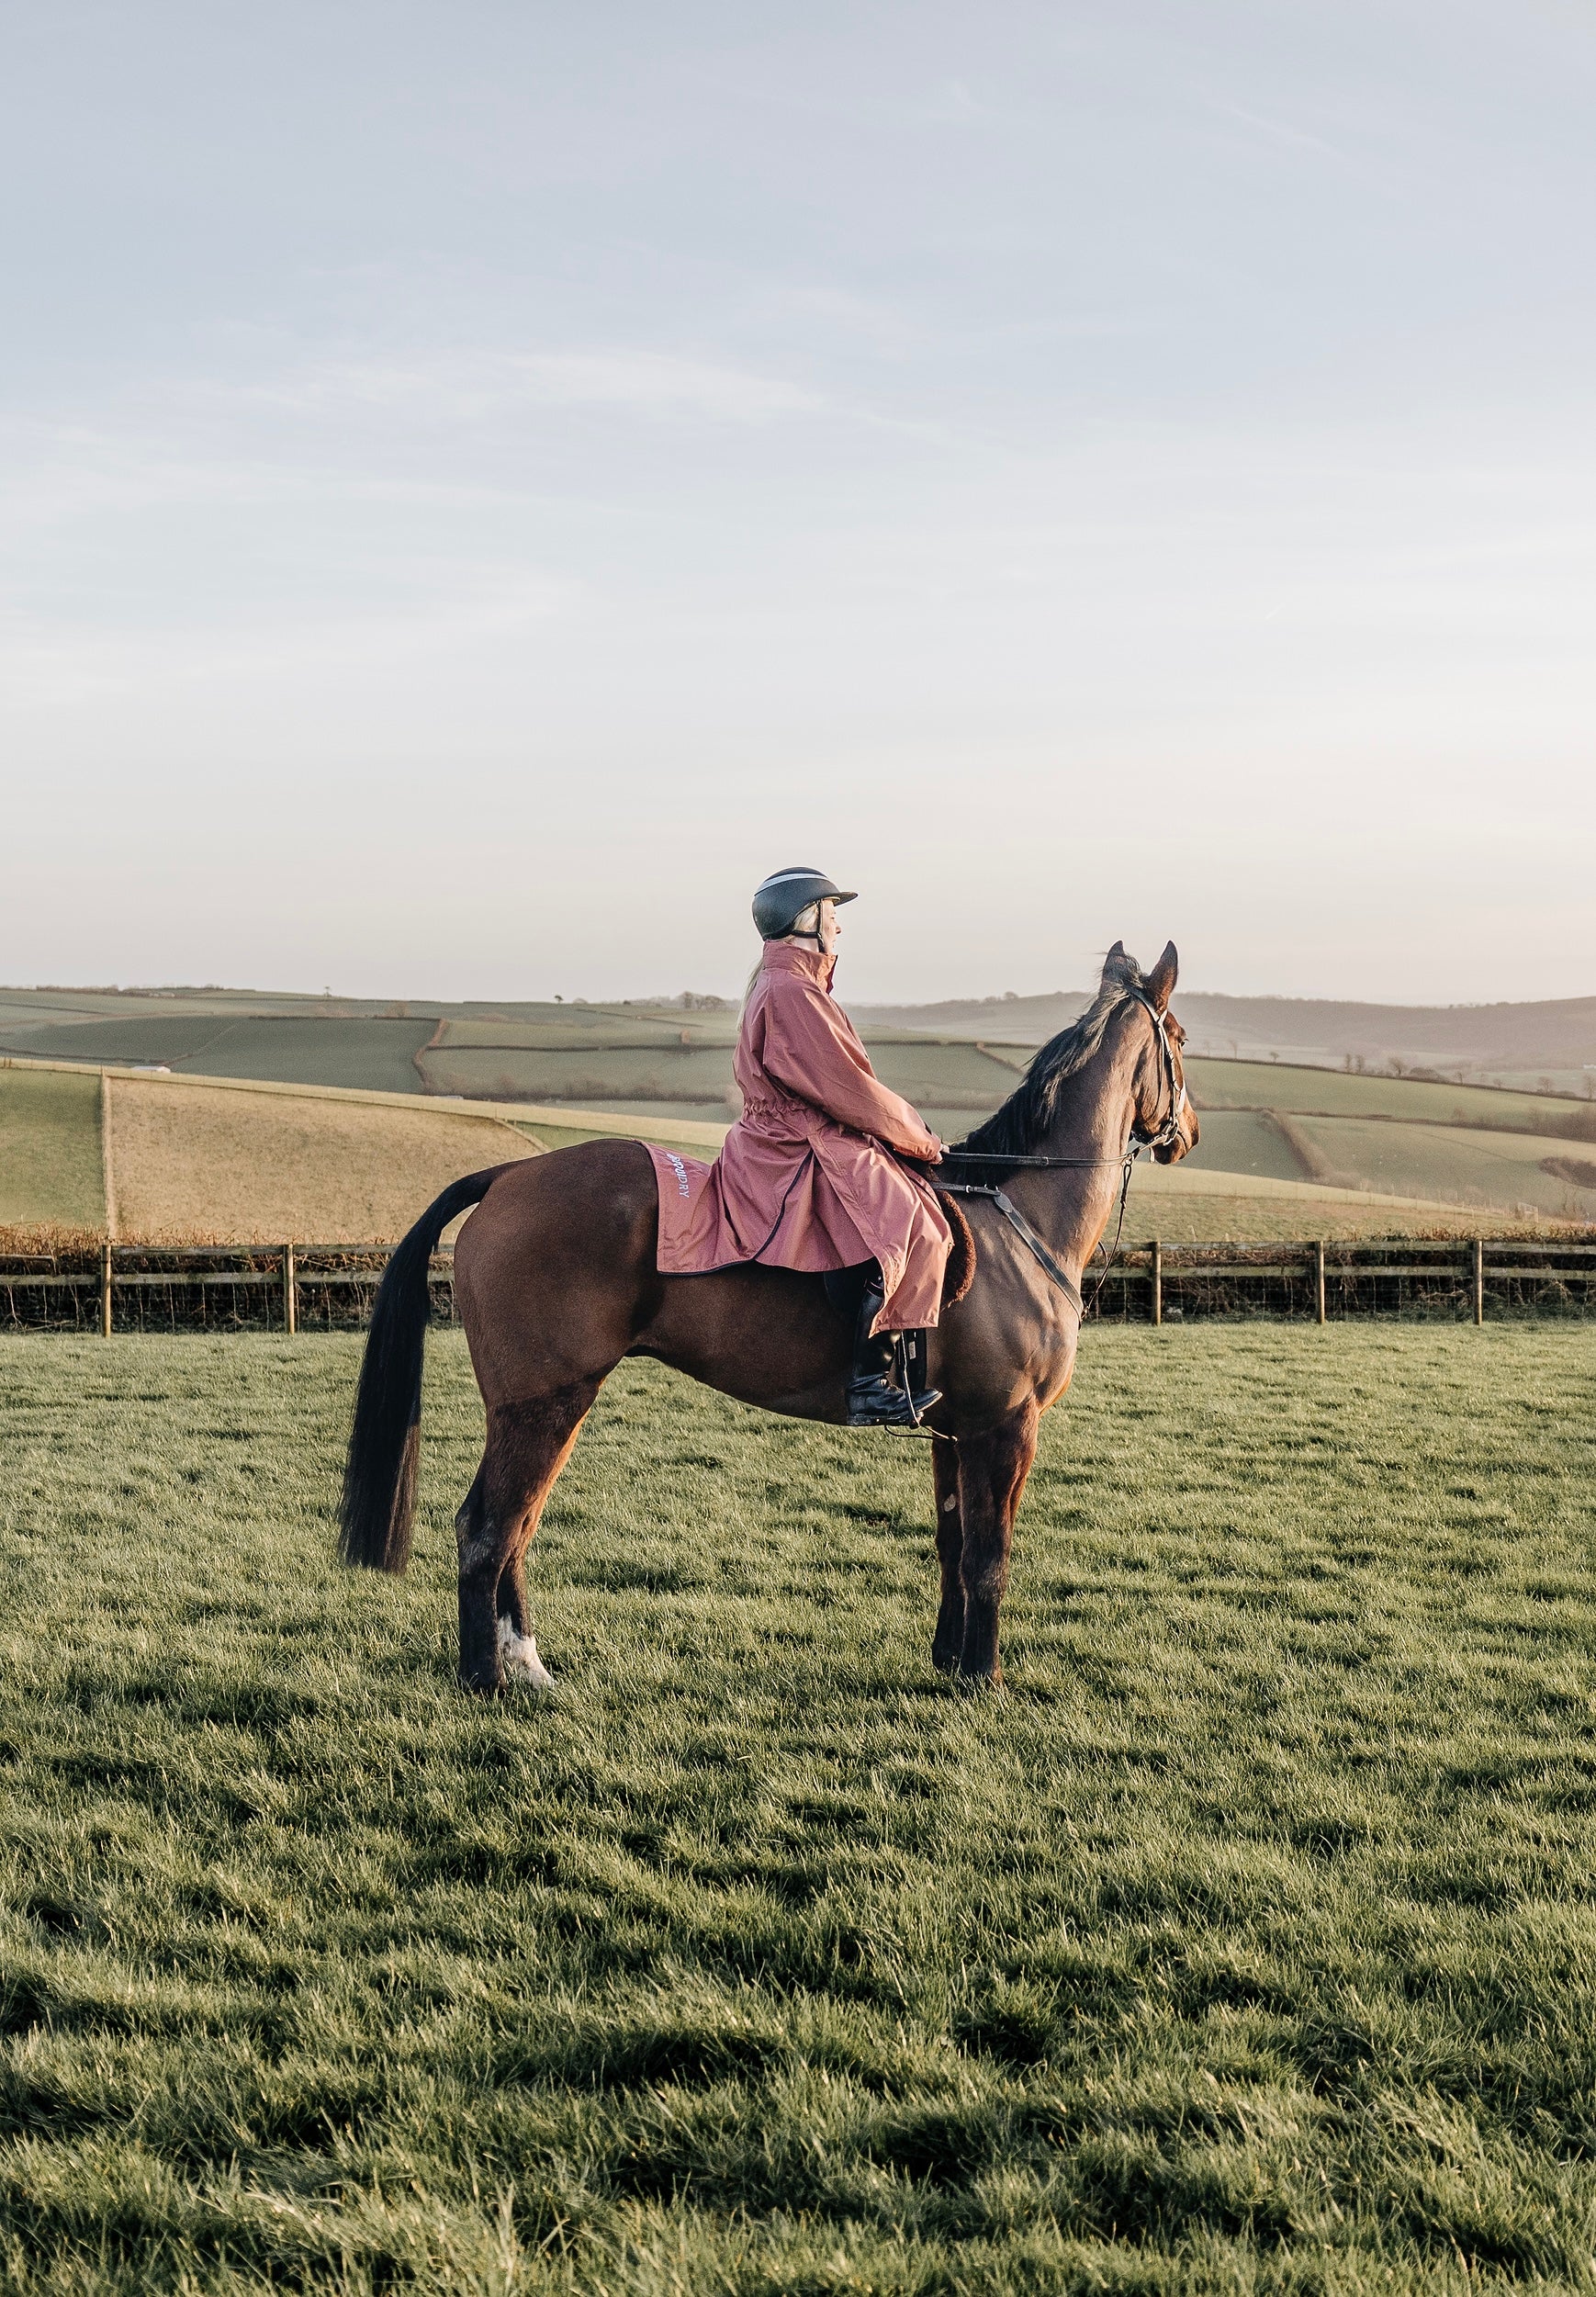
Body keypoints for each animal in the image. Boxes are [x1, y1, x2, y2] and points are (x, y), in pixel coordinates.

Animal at [344, 941, 1203, 1699]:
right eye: (1183, 1038)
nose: (1189, 1133)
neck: (1019, 1214)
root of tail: (509, 1174)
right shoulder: (1005, 1424)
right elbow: (989, 1555)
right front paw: (982, 1679)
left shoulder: (955, 1429)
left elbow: (953, 1543)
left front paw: (950, 1663)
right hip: (541, 1407)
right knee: (486, 1530)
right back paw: (485, 1679)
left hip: (558, 1409)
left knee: (516, 1528)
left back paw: (526, 1666)